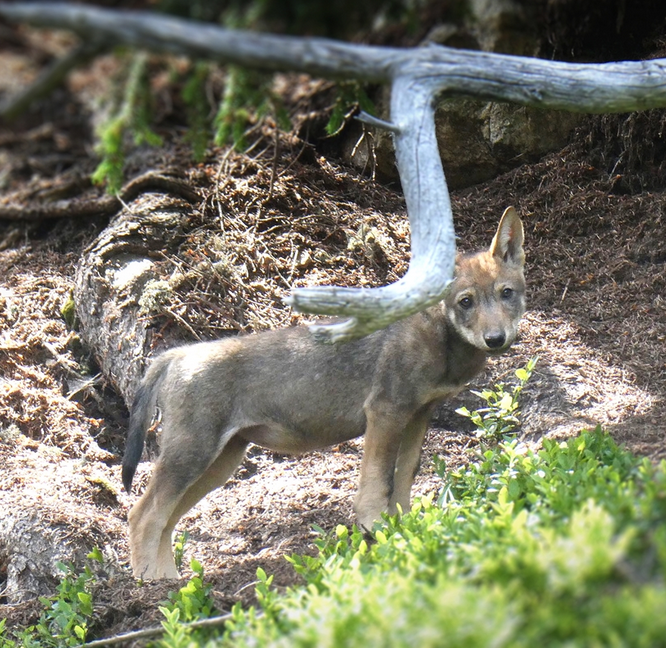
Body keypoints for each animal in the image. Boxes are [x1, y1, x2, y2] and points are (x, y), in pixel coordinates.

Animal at [122, 206, 526, 579]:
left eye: (506, 294)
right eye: (466, 301)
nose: (496, 339)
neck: (440, 339)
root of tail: (177, 354)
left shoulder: (417, 416)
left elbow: (403, 481)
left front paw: (408, 532)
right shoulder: (385, 413)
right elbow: (376, 485)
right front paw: (380, 535)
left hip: (219, 464)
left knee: (165, 522)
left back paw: (169, 586)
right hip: (193, 457)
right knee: (142, 515)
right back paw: (151, 591)